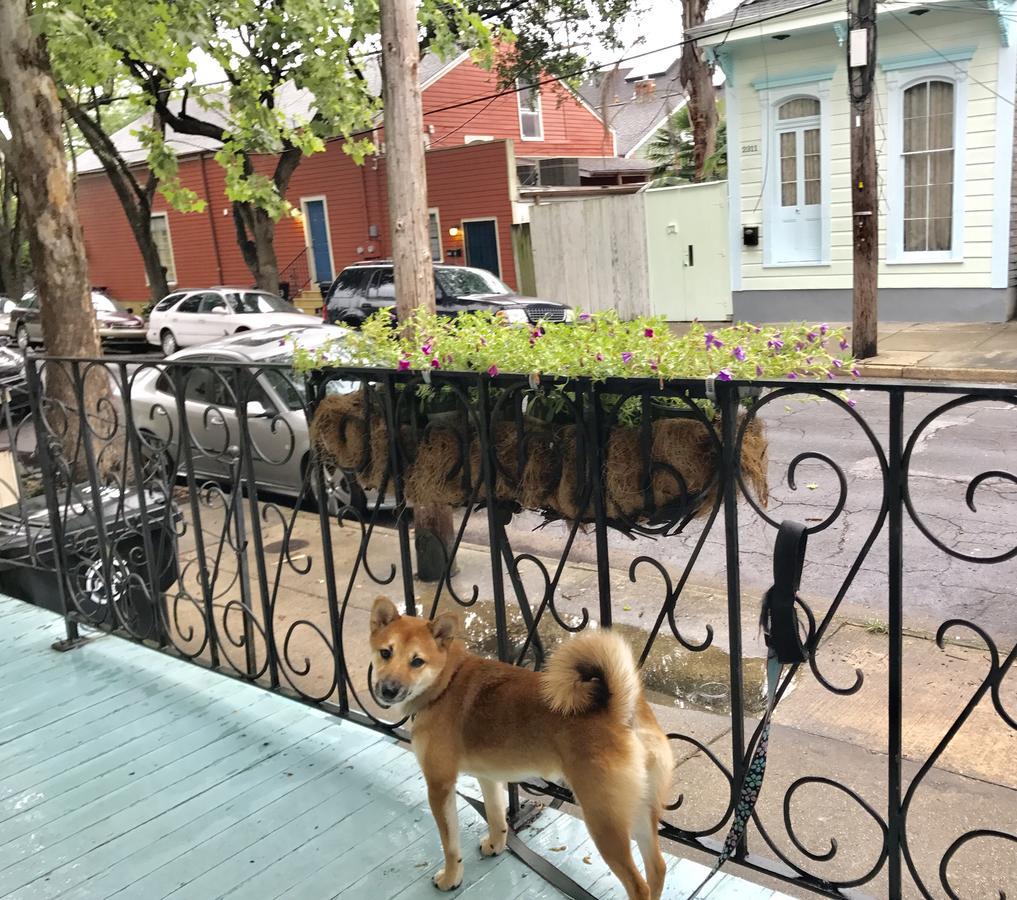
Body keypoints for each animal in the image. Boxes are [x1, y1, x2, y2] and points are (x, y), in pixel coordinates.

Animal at [370, 597, 671, 898]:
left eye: (417, 661)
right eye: (386, 653)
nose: (388, 689)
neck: (446, 682)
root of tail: (619, 711)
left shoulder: (439, 785)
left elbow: (450, 845)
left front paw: (451, 878)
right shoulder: (488, 777)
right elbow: (496, 817)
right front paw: (496, 845)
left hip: (604, 819)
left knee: (639, 885)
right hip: (638, 810)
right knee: (657, 868)